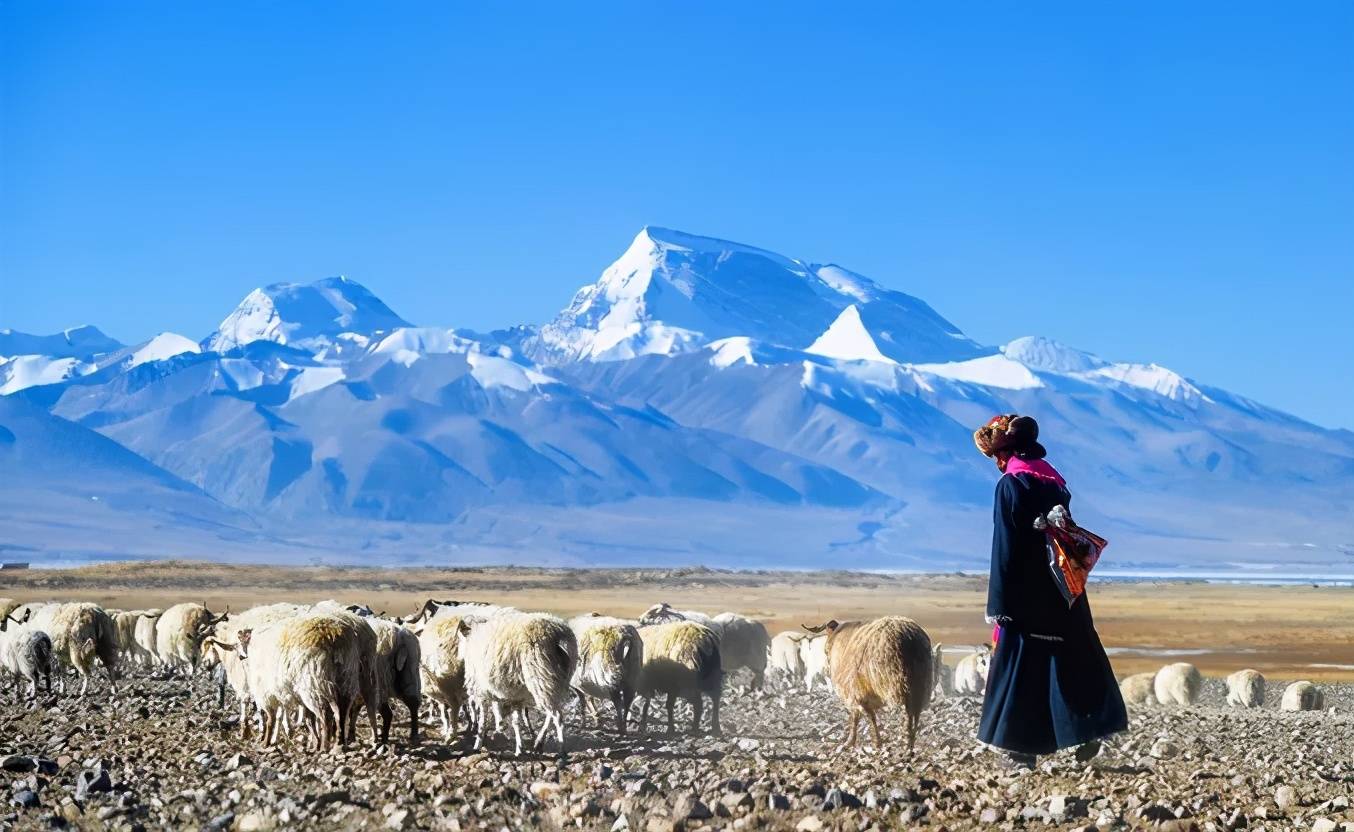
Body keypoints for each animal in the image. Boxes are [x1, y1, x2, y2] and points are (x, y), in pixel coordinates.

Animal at [460, 612, 576, 758]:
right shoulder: (515, 696)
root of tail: (558, 634)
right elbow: (515, 721)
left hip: (540, 676)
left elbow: (483, 719)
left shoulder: (481, 689)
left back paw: (561, 750)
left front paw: (478, 744)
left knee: (557, 716)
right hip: (557, 680)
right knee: (552, 711)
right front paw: (518, 748)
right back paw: (539, 742)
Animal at [801, 615, 931, 753]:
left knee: (906, 713)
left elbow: (863, 717)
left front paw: (870, 743)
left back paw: (906, 743)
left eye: (826, 651)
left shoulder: (856, 692)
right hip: (919, 685)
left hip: (898, 684)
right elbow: (861, 716)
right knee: (915, 714)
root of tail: (907, 636)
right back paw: (911, 742)